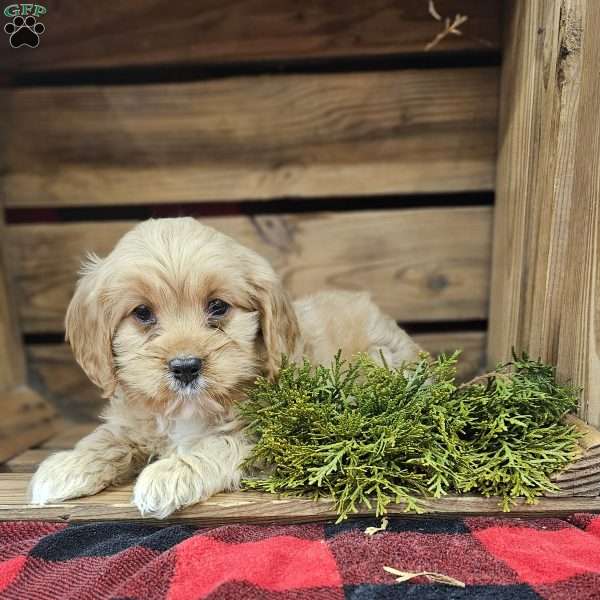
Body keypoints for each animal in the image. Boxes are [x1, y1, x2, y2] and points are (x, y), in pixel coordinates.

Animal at [29, 218, 422, 516]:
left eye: (217, 306)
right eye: (142, 313)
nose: (185, 367)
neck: (187, 411)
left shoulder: (266, 434)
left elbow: (216, 445)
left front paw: (169, 473)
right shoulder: (135, 420)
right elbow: (108, 437)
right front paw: (67, 465)